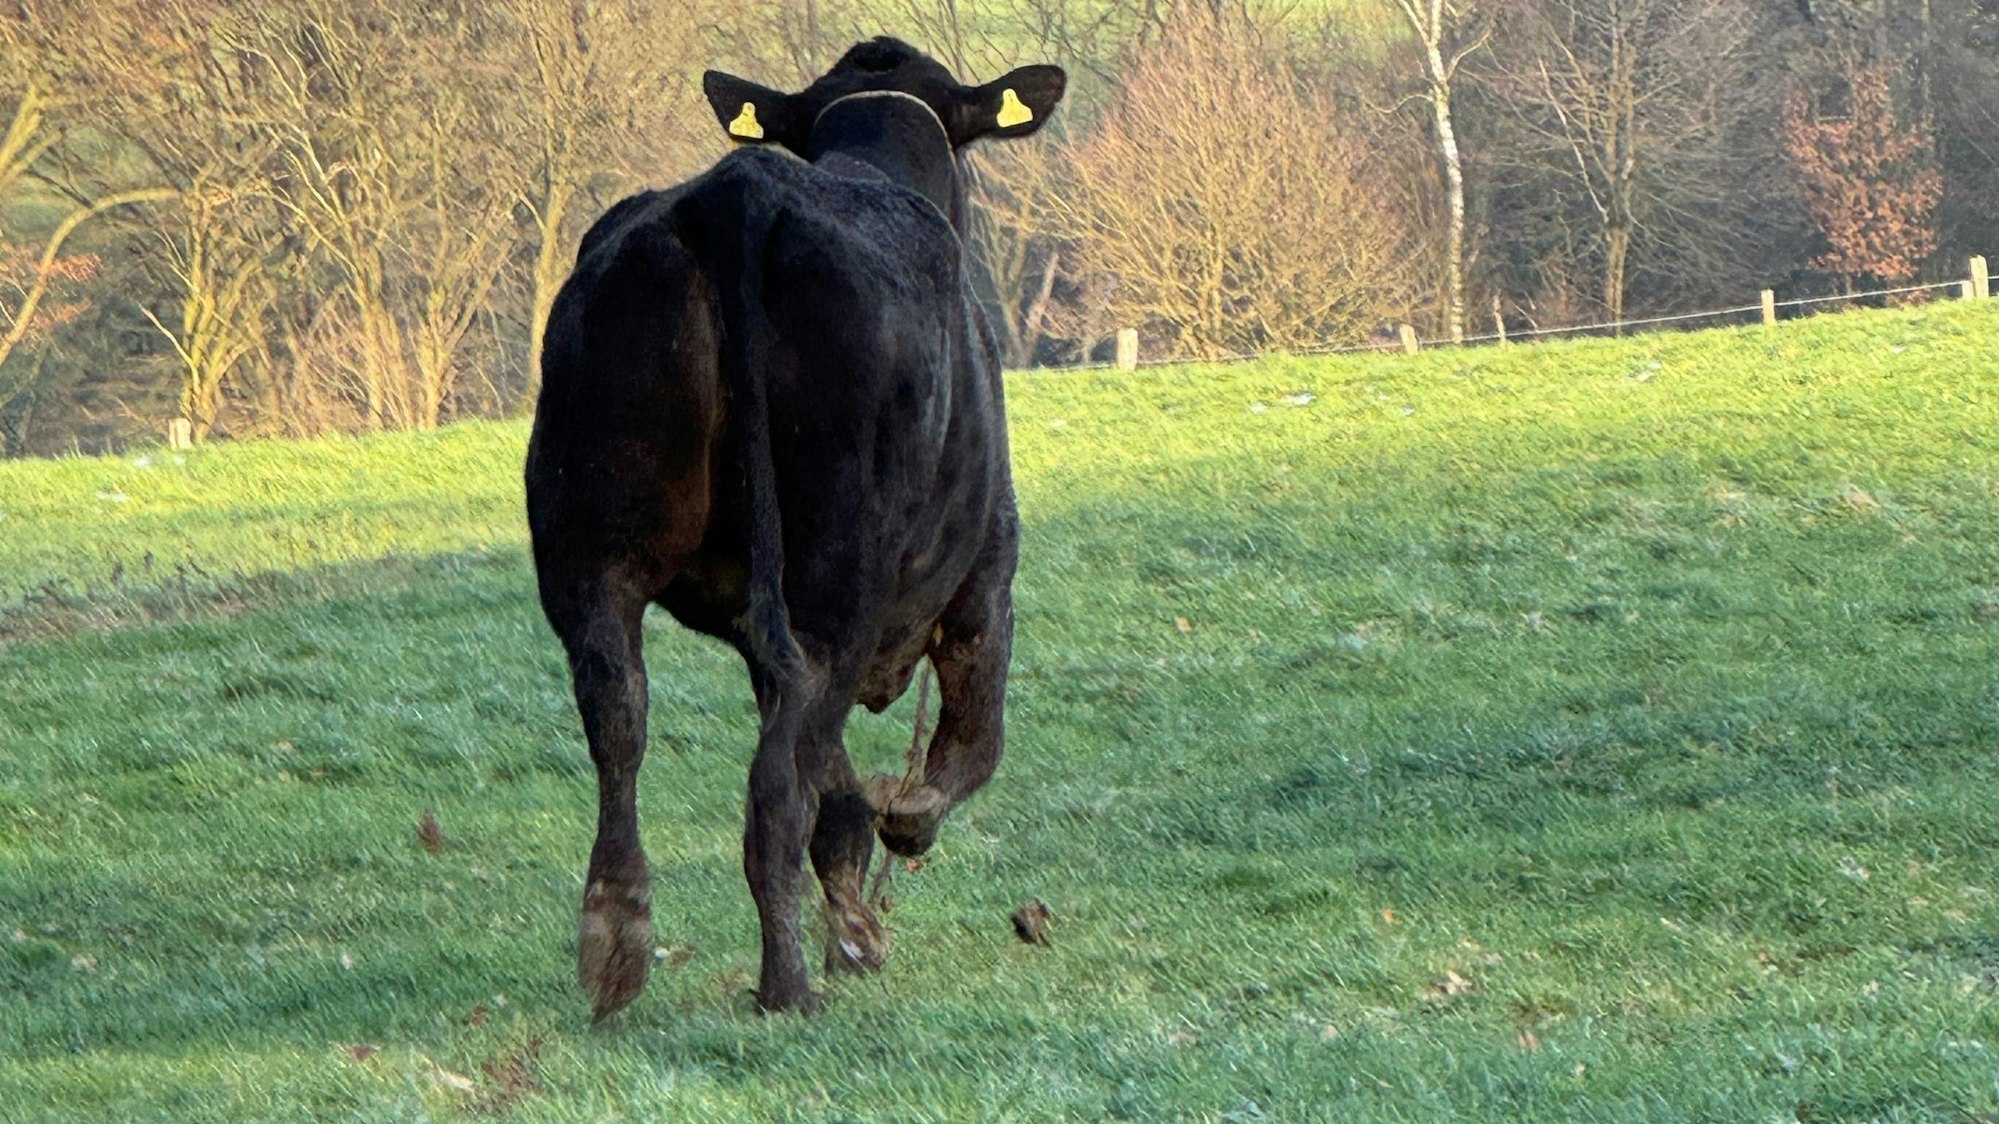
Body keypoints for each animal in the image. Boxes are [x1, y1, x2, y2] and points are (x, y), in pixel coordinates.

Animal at [524, 39, 1065, 1017]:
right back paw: (788, 984)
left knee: (620, 712)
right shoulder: (986, 578)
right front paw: (896, 837)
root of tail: (735, 192)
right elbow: (965, 752)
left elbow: (838, 777)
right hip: (836, 571)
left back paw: (616, 945)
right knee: (778, 780)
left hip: (590, 547)